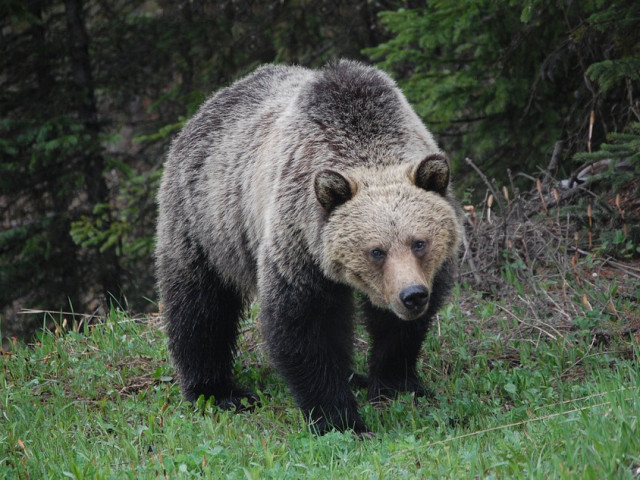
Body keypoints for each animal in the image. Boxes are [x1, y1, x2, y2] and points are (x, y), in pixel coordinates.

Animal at [158, 60, 462, 436]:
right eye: (376, 251)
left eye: (419, 243)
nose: (412, 295)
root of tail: (209, 104)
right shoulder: (298, 243)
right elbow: (305, 325)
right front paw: (340, 419)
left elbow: (398, 330)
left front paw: (397, 384)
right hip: (205, 220)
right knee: (200, 306)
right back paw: (218, 391)